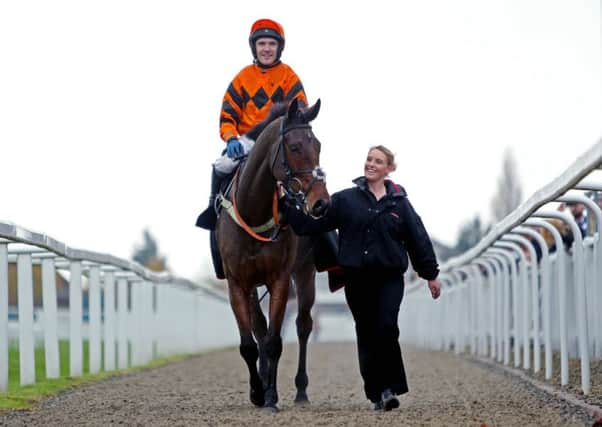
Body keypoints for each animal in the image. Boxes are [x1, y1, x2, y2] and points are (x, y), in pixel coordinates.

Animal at [216, 98, 328, 412]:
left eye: (318, 145)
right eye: (295, 147)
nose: (321, 203)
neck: (254, 212)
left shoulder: (279, 278)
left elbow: (275, 341)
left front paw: (270, 396)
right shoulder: (237, 282)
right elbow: (250, 342)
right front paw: (257, 391)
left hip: (304, 274)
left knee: (303, 326)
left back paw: (300, 391)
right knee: (260, 328)